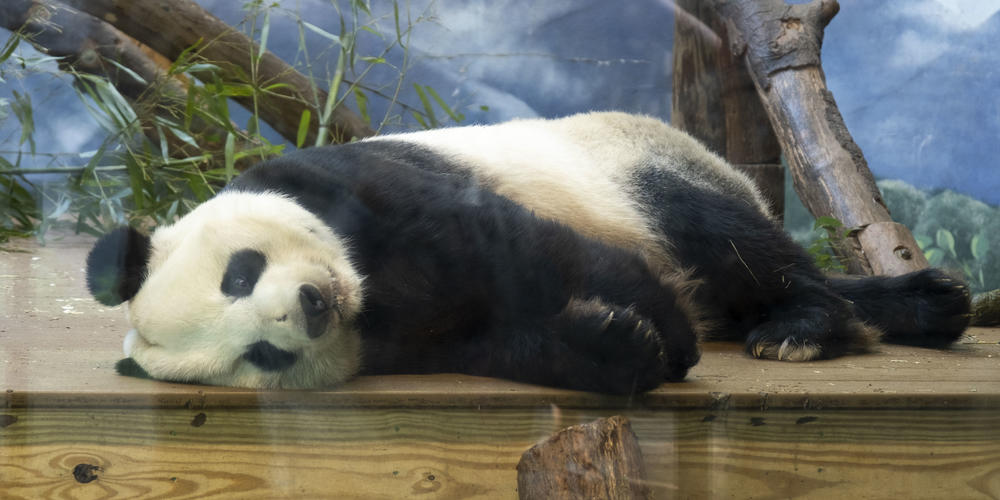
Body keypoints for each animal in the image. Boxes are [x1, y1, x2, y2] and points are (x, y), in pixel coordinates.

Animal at [86, 112, 968, 394]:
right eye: (260, 355)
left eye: (240, 273)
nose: (310, 304)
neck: (368, 292)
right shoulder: (401, 342)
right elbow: (502, 341)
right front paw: (620, 345)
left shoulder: (362, 188)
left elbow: (530, 250)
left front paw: (663, 333)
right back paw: (926, 306)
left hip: (640, 163)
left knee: (736, 244)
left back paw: (804, 326)